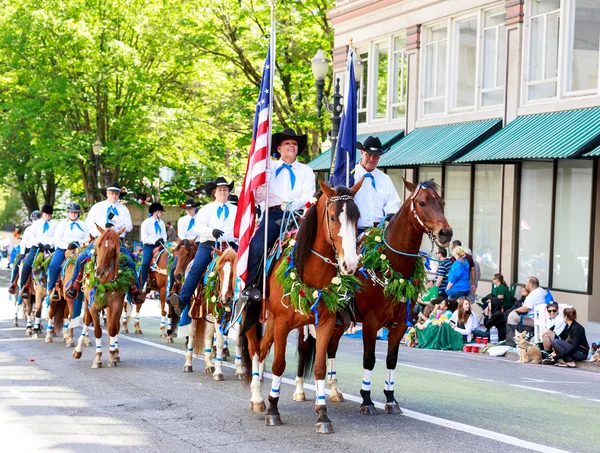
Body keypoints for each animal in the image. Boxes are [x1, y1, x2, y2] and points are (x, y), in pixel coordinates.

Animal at [72, 226, 131, 368]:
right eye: (98, 245)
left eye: (113, 249)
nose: (98, 271)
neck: (105, 282)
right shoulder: (92, 305)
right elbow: (97, 330)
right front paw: (97, 358)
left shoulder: (116, 305)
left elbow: (112, 329)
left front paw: (112, 356)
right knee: (87, 321)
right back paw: (78, 350)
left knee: (113, 325)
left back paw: (115, 352)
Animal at [188, 245, 244, 380]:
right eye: (219, 270)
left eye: (235, 271)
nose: (224, 299)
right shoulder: (218, 317)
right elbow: (219, 343)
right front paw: (218, 372)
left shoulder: (238, 318)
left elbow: (238, 343)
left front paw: (239, 370)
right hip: (194, 312)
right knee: (192, 335)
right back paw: (188, 364)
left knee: (208, 336)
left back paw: (209, 364)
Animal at [238, 178, 360, 432]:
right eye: (332, 217)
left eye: (357, 216)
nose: (350, 264)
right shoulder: (283, 323)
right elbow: (279, 365)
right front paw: (273, 410)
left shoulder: (325, 323)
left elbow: (320, 367)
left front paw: (322, 414)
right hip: (253, 316)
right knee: (254, 350)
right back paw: (257, 398)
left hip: (272, 323)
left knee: (262, 349)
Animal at [356, 179, 450, 414]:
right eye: (422, 202)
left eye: (442, 202)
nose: (445, 233)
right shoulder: (370, 322)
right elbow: (369, 359)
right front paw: (366, 400)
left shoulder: (400, 323)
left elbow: (391, 359)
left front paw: (390, 398)